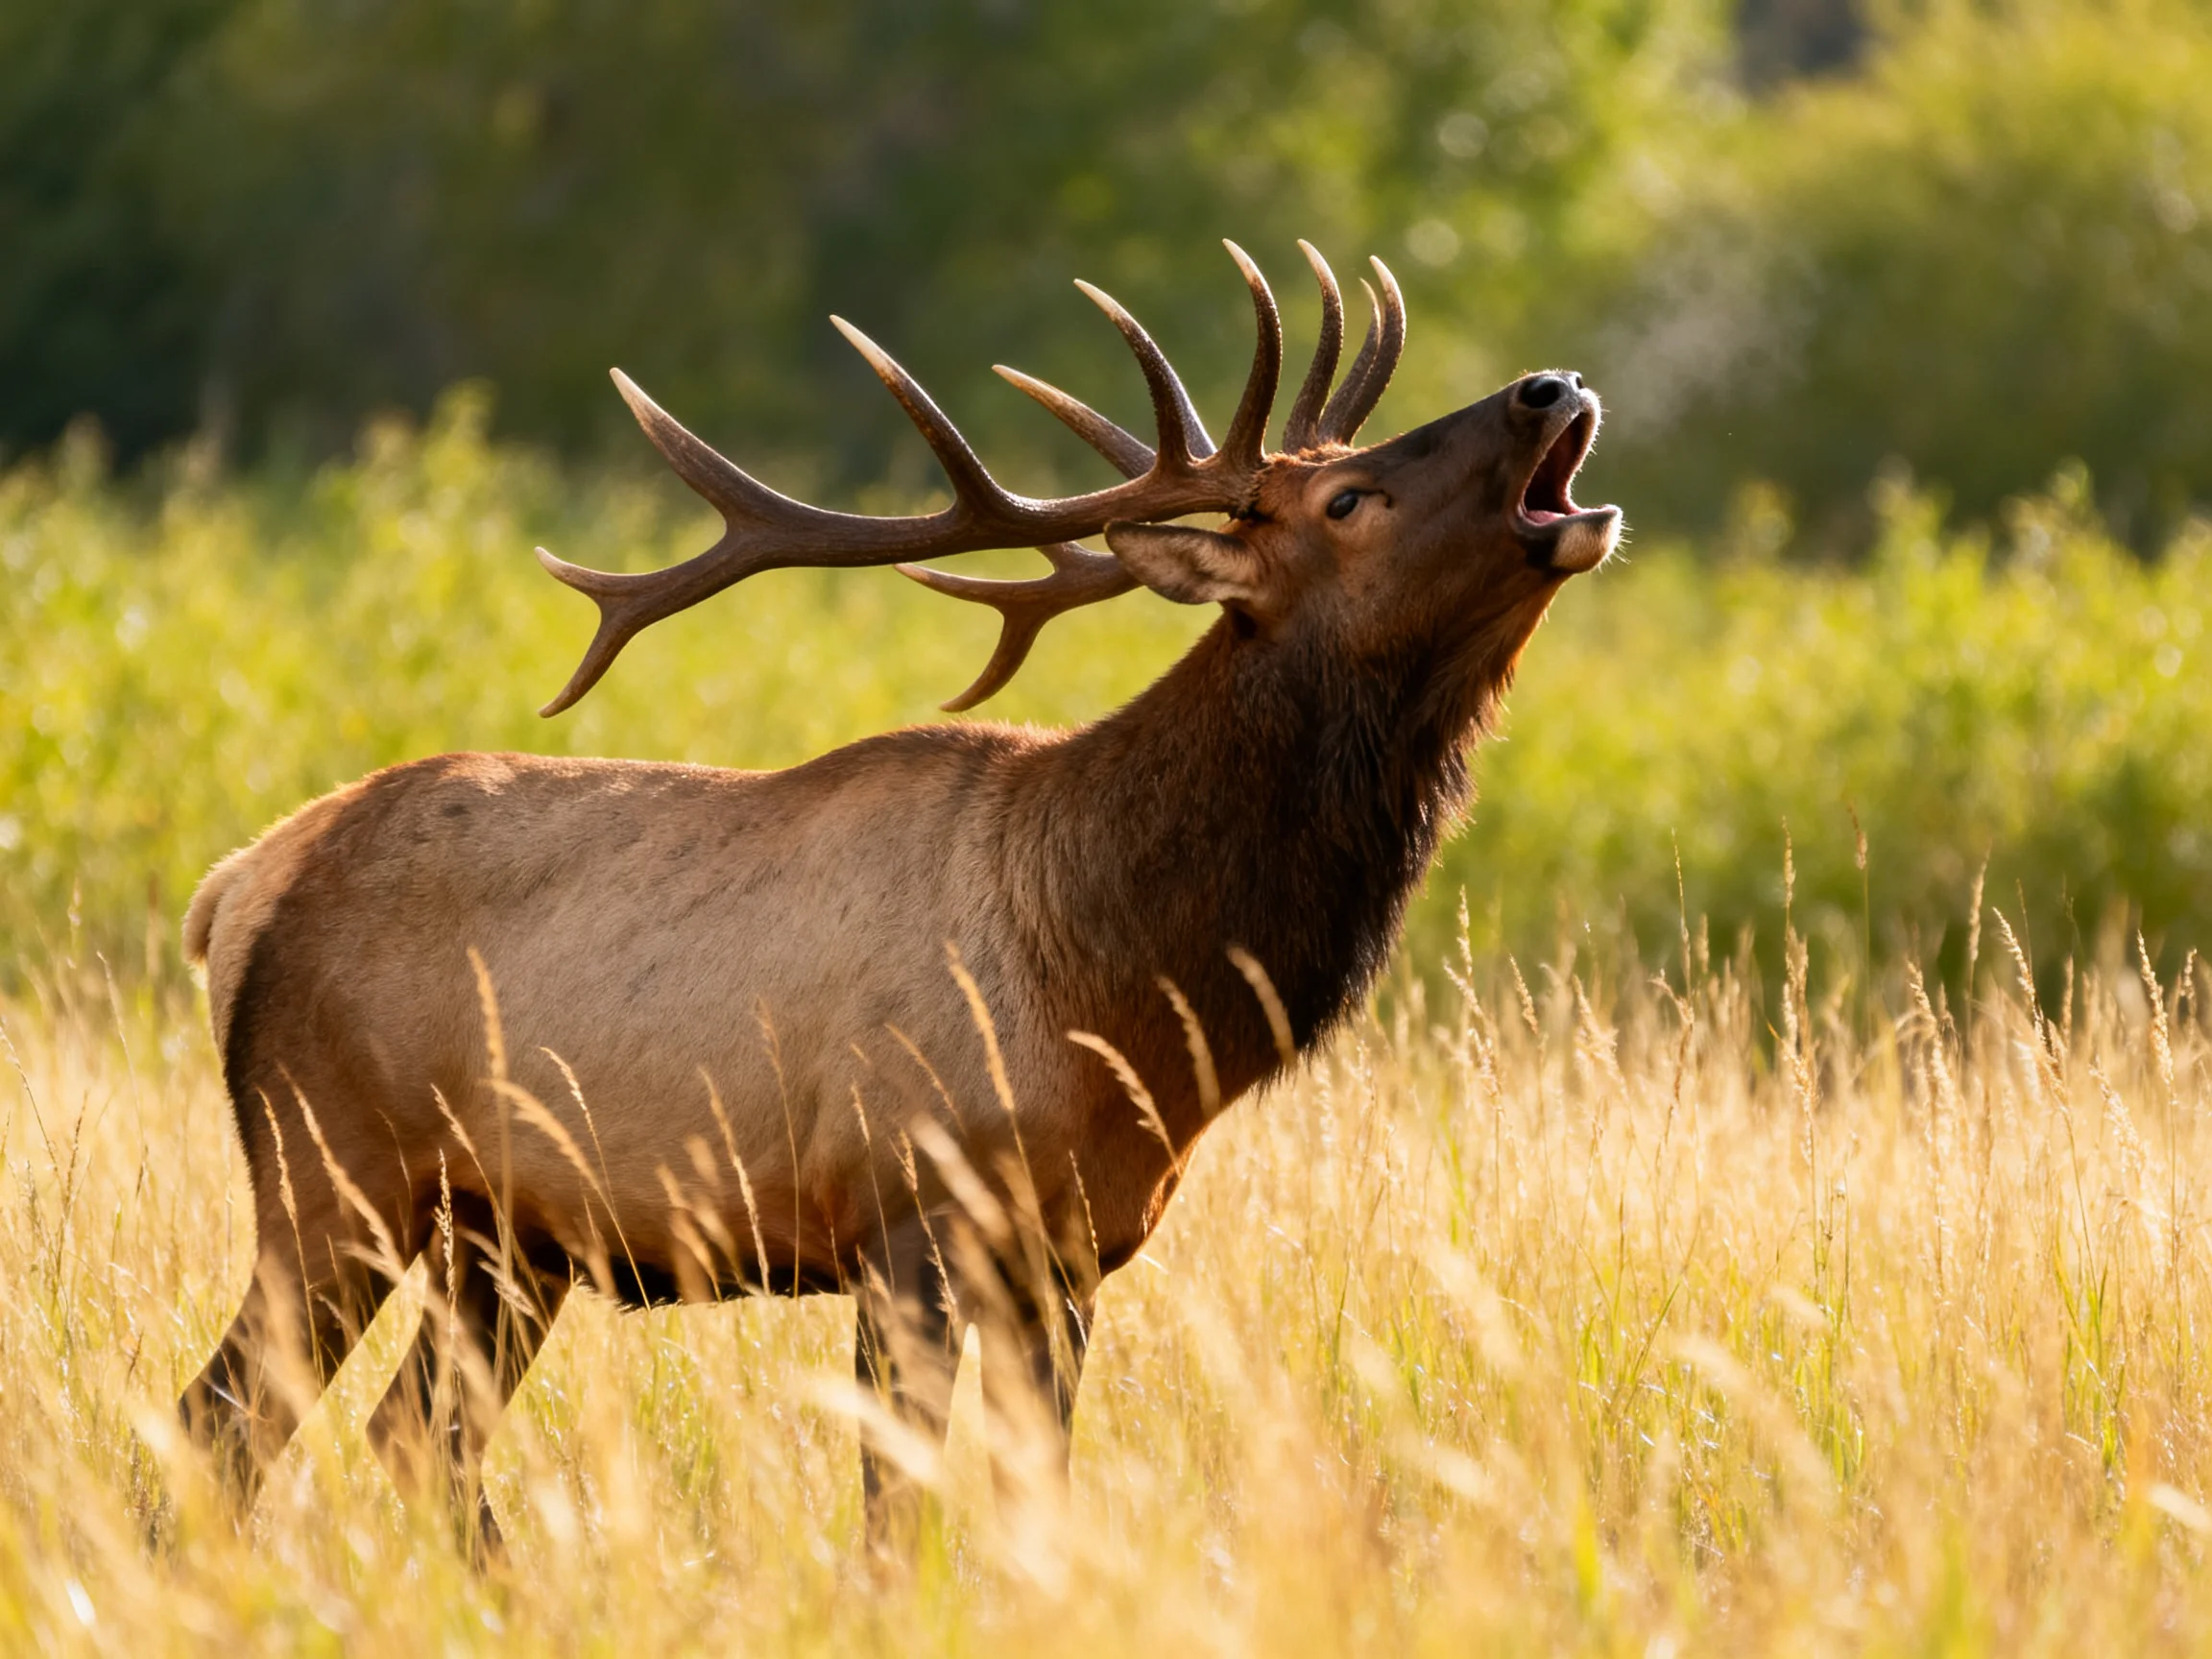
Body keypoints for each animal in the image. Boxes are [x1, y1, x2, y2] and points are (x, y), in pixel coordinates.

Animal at [175, 239, 1618, 1556]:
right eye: (1349, 498)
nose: (1548, 385)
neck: (1121, 985)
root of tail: (237, 883)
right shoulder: (906, 1211)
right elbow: (895, 1507)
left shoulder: (1075, 1247)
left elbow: (1035, 1501)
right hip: (327, 1166)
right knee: (223, 1419)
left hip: (502, 1235)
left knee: (412, 1436)